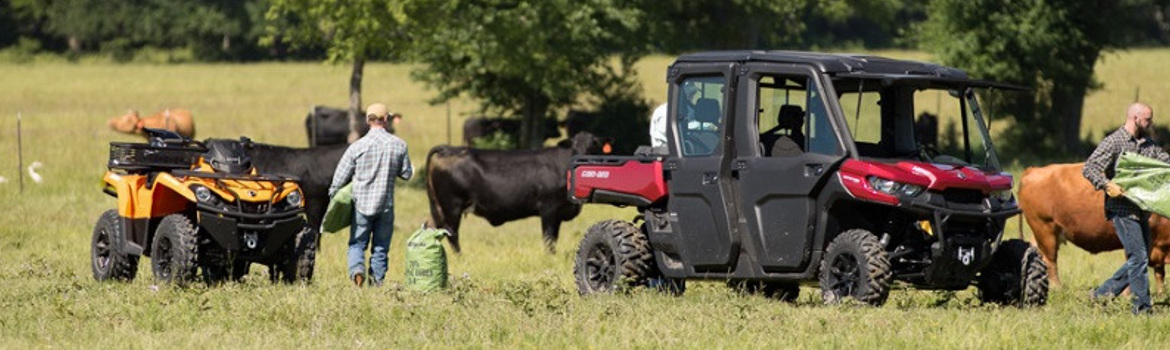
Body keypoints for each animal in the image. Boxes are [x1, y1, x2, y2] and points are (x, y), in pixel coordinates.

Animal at [430, 132, 613, 254]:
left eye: (594, 146)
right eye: (575, 147)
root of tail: (449, 149)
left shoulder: (559, 212)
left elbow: (554, 237)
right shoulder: (548, 208)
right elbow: (549, 238)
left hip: (439, 207)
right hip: (452, 205)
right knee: (452, 232)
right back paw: (460, 255)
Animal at [1015, 163, 1170, 293]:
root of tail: (1034, 170)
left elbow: (1159, 273)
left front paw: (1161, 294)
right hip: (1045, 229)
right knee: (1050, 261)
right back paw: (1057, 289)